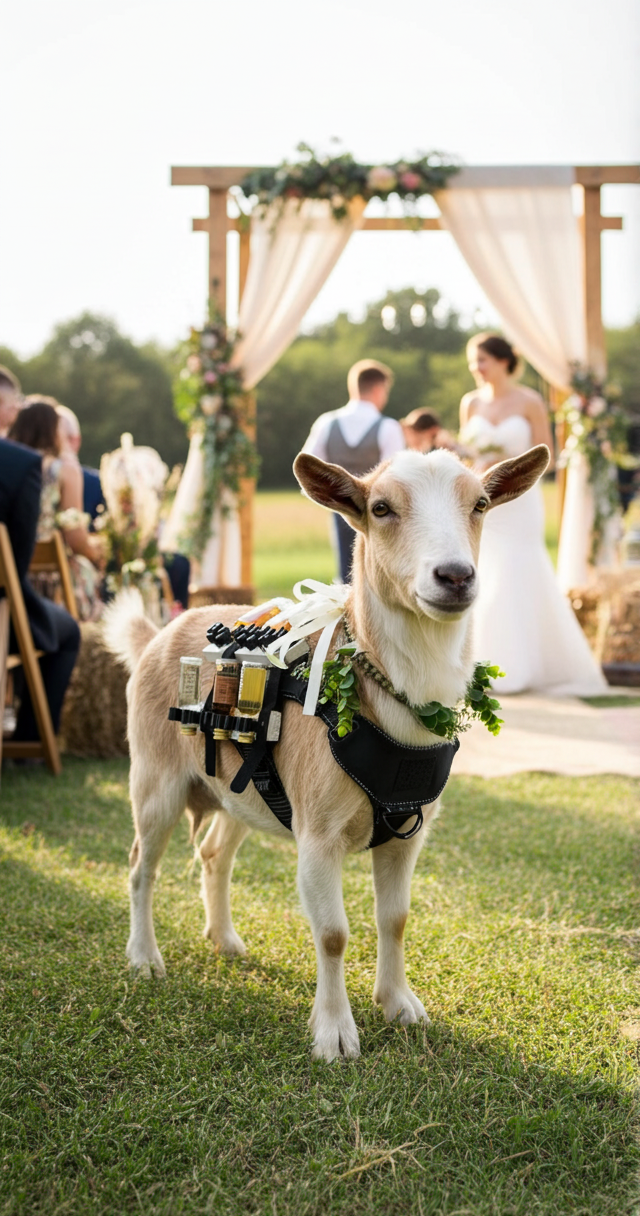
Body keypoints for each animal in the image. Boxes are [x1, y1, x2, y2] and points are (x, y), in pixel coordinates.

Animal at [104, 445, 549, 1061]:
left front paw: (399, 1005)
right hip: (155, 781)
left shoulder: (407, 835)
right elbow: (334, 933)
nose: (456, 576)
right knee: (139, 866)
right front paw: (335, 1033)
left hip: (244, 789)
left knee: (214, 853)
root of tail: (157, 635)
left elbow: (396, 919)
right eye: (381, 507)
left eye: (480, 503)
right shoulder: (317, 835)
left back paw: (225, 939)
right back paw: (145, 957)